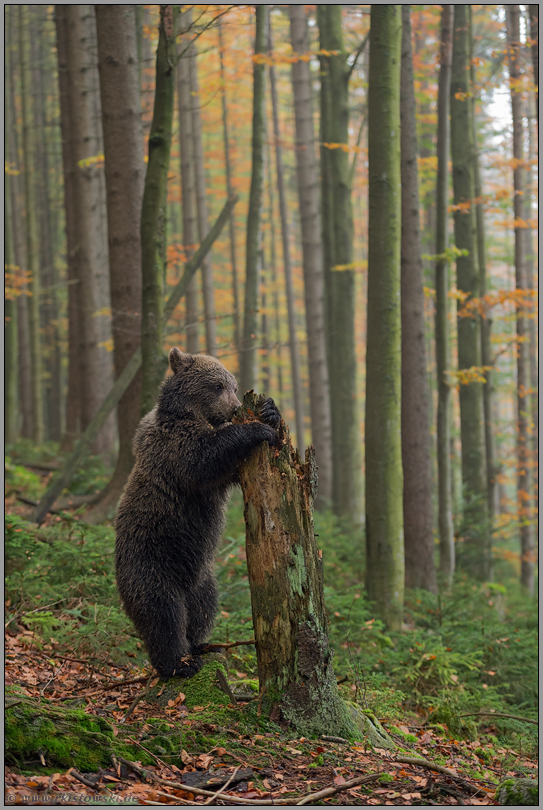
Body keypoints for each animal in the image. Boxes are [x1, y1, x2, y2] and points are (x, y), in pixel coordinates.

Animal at [116, 348, 282, 676]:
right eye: (216, 385)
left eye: (233, 386)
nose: (234, 408)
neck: (190, 415)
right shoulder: (174, 448)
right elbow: (204, 457)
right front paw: (255, 428)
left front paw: (271, 411)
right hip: (153, 561)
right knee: (162, 612)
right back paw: (179, 663)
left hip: (202, 575)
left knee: (203, 606)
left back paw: (200, 645)